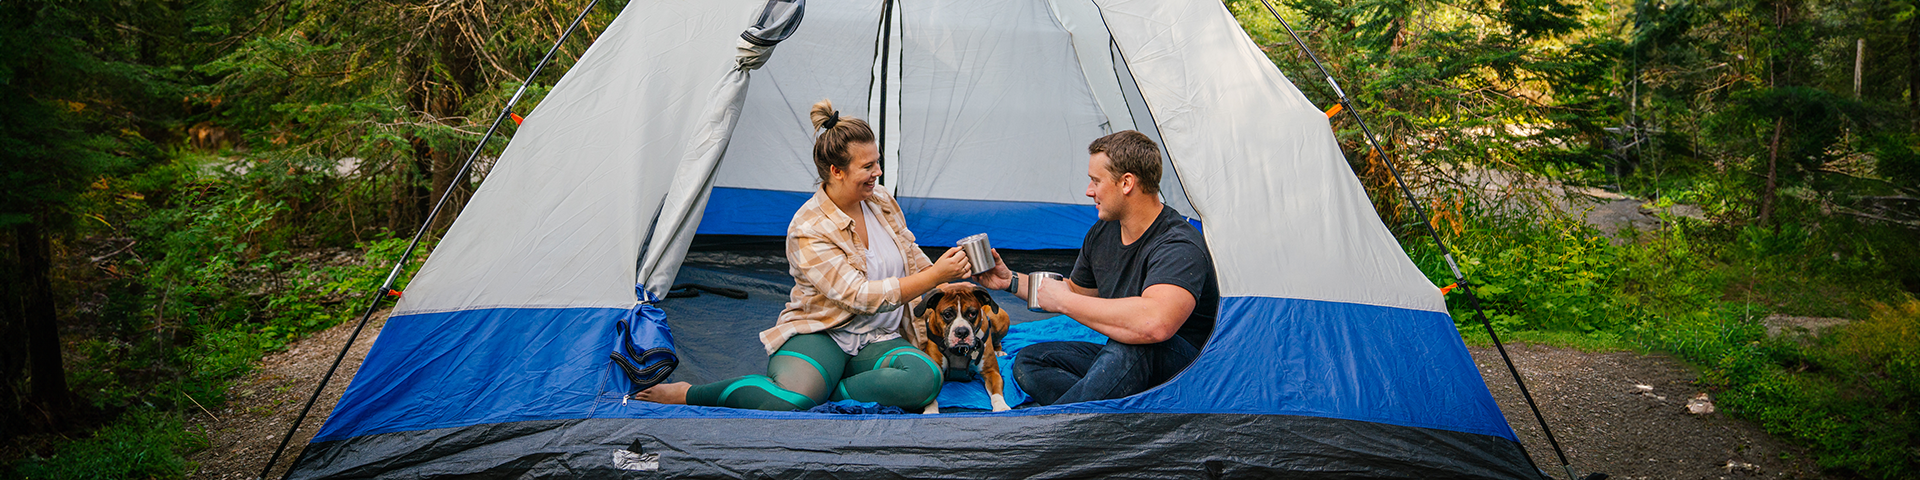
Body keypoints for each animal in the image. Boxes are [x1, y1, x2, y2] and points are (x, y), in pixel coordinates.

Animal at [910, 284, 1013, 412]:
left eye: (972, 313)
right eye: (947, 314)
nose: (962, 331)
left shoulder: (991, 372)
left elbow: (997, 393)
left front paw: (1001, 407)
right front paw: (931, 411)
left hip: (999, 317)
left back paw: (999, 351)